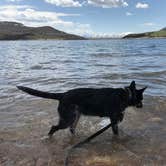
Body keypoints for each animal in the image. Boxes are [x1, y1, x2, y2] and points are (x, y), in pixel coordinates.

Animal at [16, 80, 147, 136]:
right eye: (141, 98)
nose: (142, 106)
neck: (126, 95)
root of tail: (63, 94)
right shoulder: (114, 120)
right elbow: (116, 133)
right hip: (67, 119)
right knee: (54, 128)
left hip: (75, 117)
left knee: (71, 129)